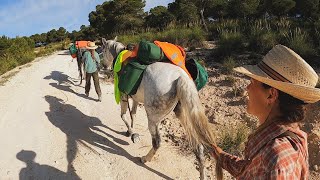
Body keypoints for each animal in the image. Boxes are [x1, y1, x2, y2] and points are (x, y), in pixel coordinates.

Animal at [101, 37, 221, 179]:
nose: (103, 65)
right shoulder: (135, 99)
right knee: (198, 147)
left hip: (153, 118)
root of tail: (181, 77)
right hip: (183, 113)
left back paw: (145, 158)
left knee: (157, 142)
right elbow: (133, 114)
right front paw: (131, 130)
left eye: (103, 50)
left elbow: (123, 115)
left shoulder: (123, 95)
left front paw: (130, 132)